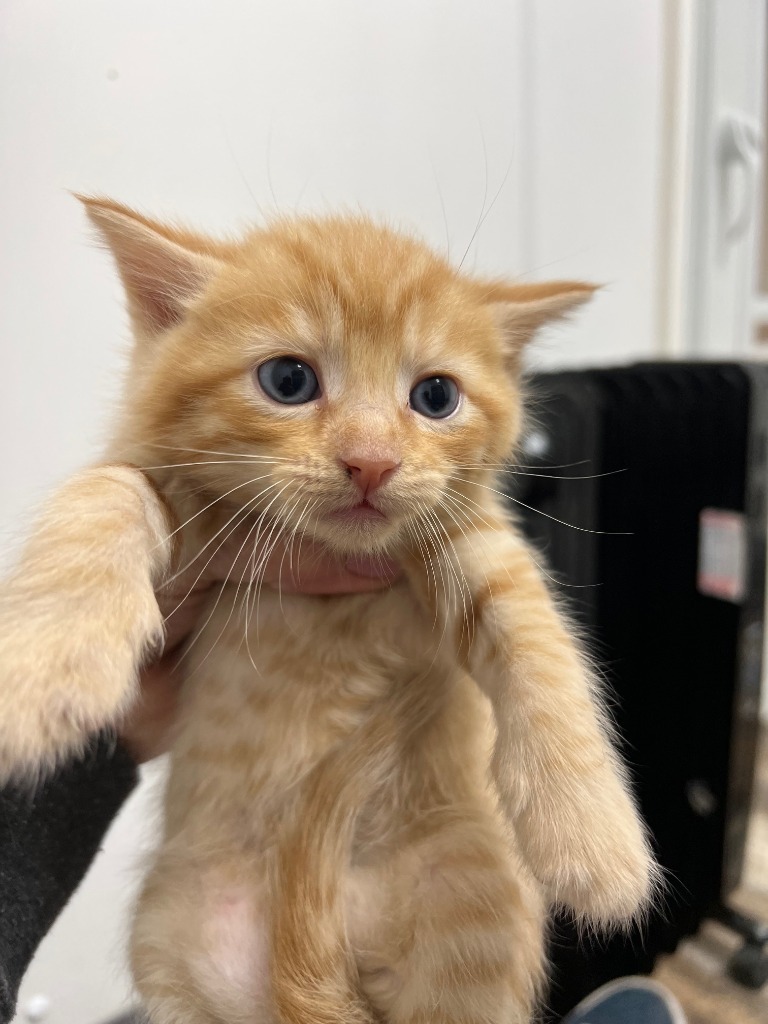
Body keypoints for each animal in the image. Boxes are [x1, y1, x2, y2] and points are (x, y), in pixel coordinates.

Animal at [0, 201, 659, 1024]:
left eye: (435, 396)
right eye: (288, 380)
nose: (371, 462)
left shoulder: (470, 534)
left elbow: (537, 631)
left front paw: (594, 836)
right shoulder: (155, 481)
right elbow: (104, 493)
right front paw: (47, 663)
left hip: (471, 894)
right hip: (165, 946)